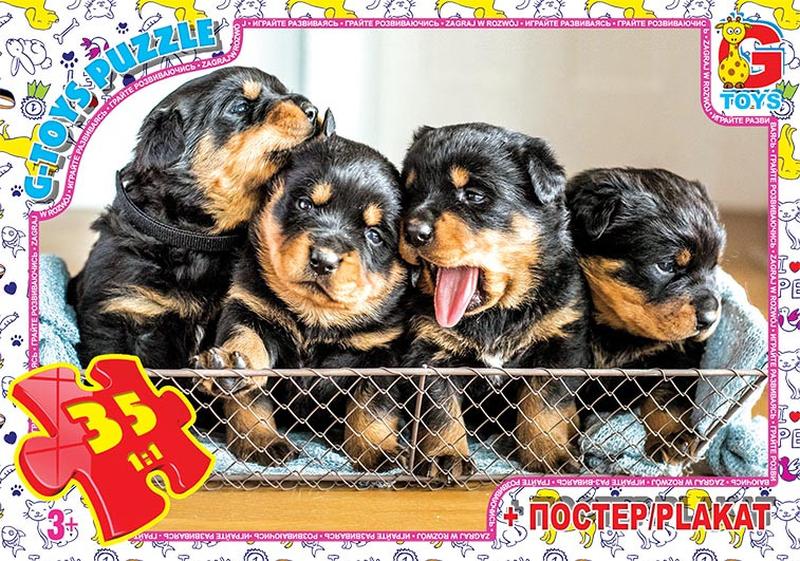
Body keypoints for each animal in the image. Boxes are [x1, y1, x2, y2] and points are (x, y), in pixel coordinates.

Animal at [192, 116, 409, 470]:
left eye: (375, 235)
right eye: (305, 204)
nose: (324, 259)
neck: (314, 318)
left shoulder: (380, 352)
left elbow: (373, 409)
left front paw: (378, 451)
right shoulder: (247, 309)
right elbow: (250, 382)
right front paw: (261, 441)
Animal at [399, 123, 591, 479]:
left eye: (474, 195)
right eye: (411, 194)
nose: (413, 231)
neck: (496, 315)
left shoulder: (558, 343)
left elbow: (546, 406)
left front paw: (550, 453)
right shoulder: (428, 350)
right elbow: (440, 410)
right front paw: (446, 456)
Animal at [566, 167, 726, 465]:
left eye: (714, 266)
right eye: (666, 265)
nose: (710, 317)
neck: (615, 331)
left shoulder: (678, 357)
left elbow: (667, 397)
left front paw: (673, 438)